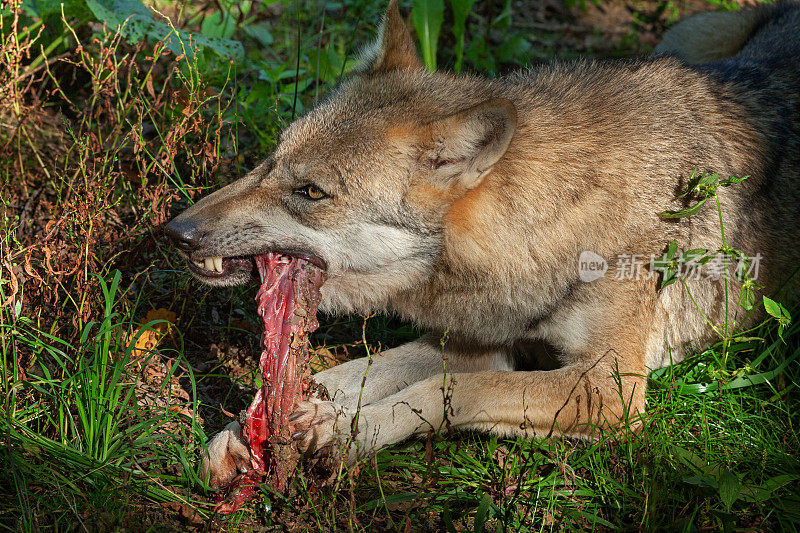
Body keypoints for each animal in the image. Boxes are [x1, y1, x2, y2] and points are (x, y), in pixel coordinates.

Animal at [167, 0, 800, 486]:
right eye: (270, 162)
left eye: (311, 192)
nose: (174, 233)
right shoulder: (486, 341)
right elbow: (357, 371)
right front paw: (245, 430)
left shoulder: (608, 390)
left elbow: (446, 390)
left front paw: (343, 432)